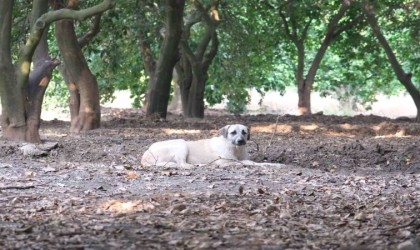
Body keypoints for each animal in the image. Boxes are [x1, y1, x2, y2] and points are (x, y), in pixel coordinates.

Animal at [143, 123, 284, 168]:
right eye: (233, 132)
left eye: (244, 132)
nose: (240, 141)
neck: (235, 149)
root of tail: (145, 155)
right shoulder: (224, 161)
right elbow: (248, 163)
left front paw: (276, 165)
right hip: (181, 143)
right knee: (182, 165)